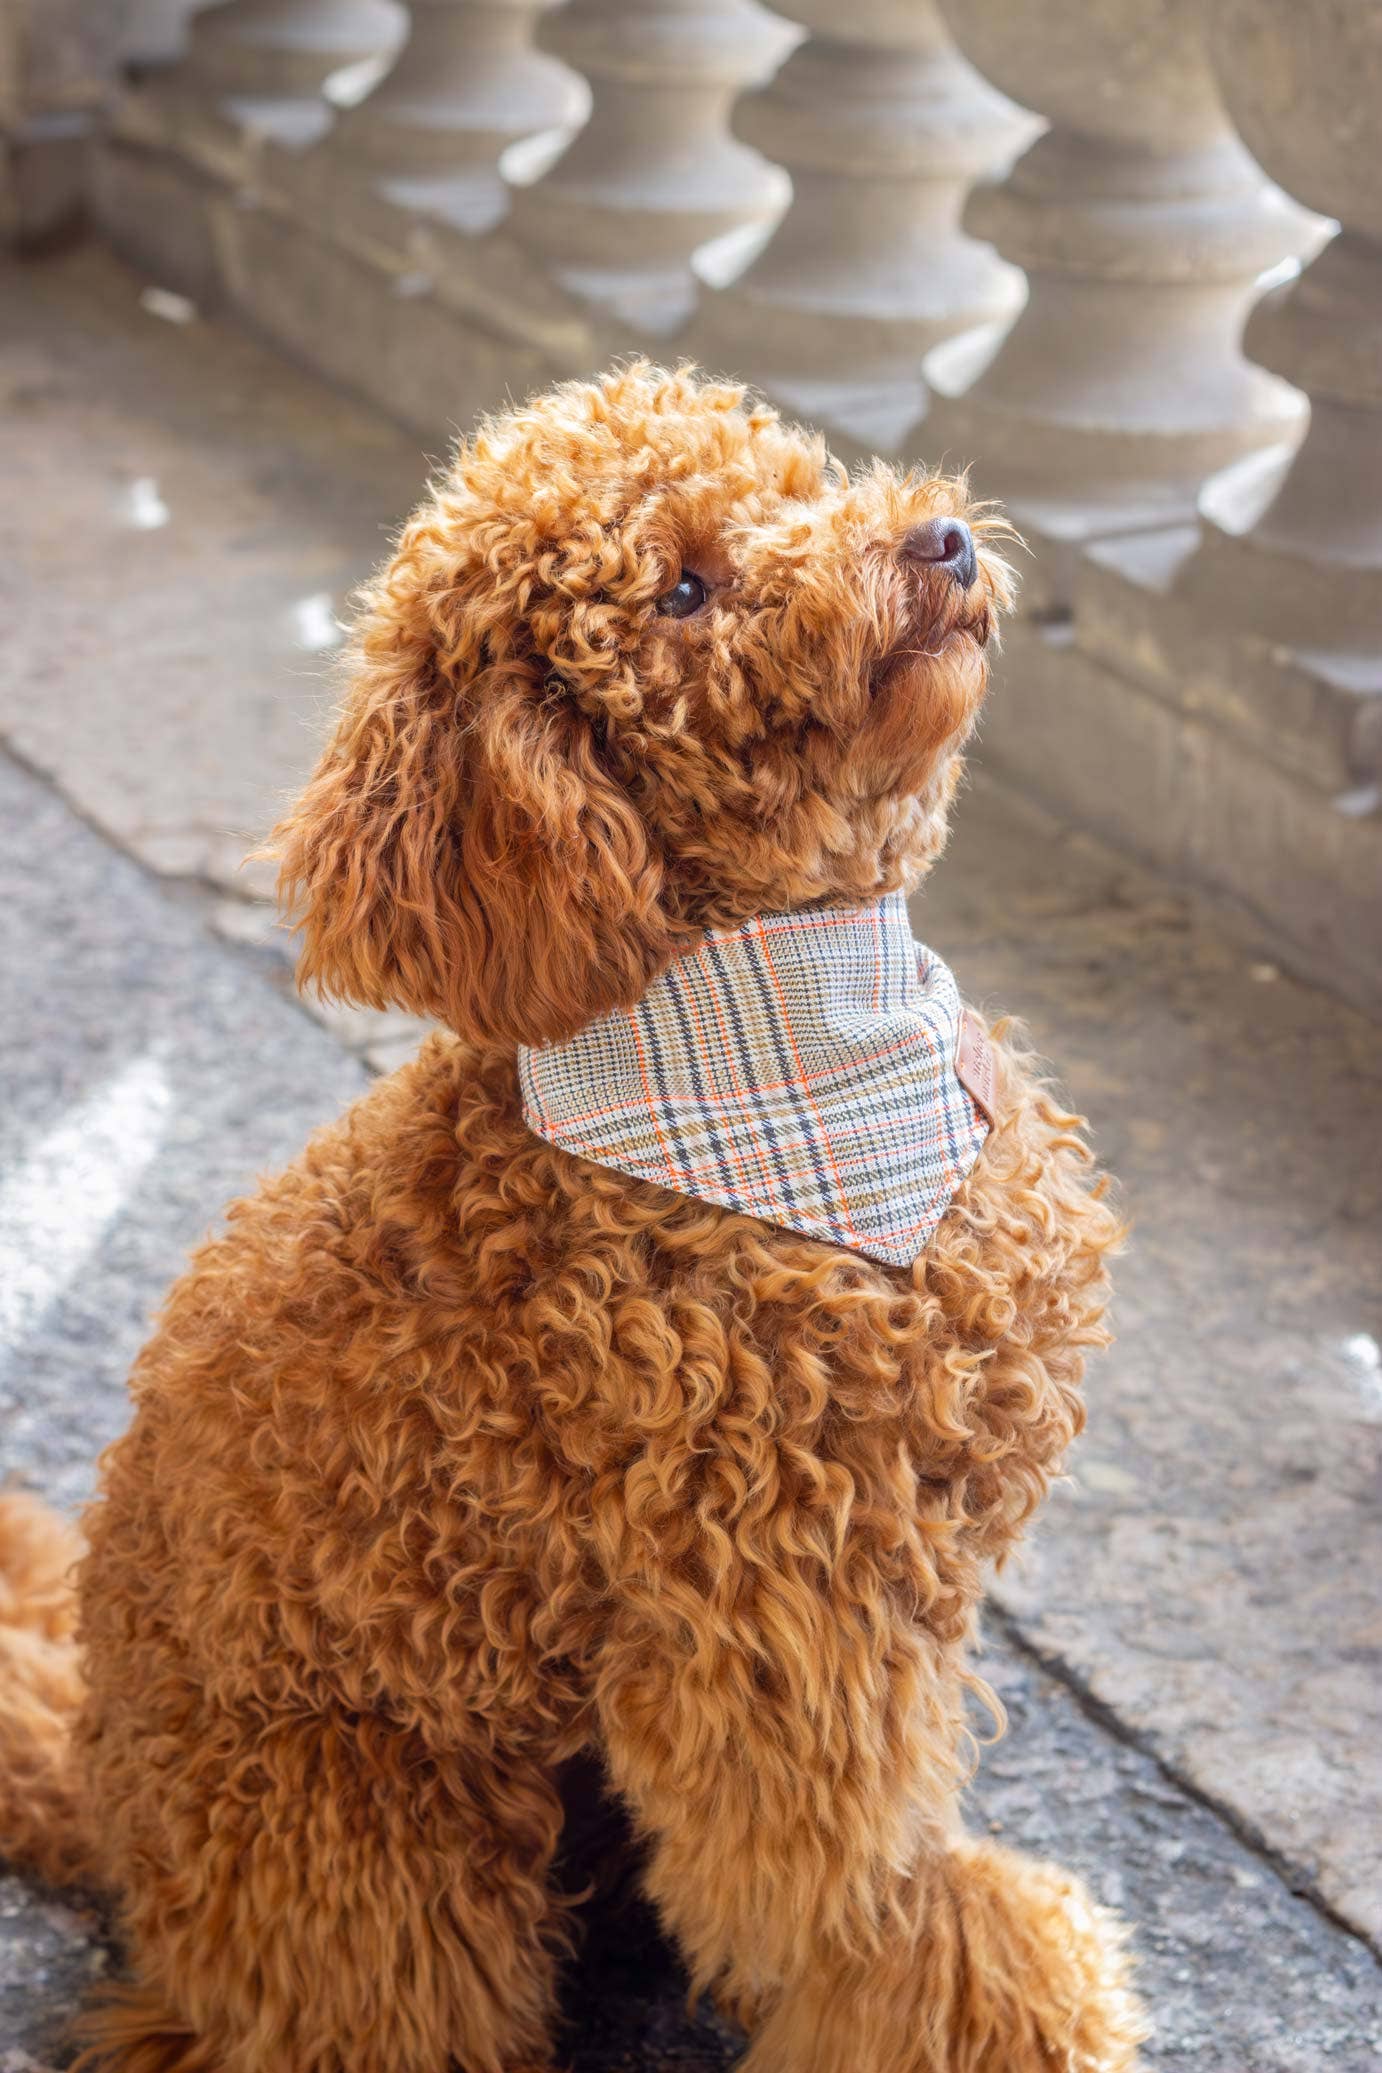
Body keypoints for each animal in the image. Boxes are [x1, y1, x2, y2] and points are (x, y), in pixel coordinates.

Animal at [2, 364, 1143, 2064]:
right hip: (365, 1831)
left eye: (797, 485)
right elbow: (860, 1898)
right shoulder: (774, 1612)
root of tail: (98, 1785)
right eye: (680, 590)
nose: (935, 539)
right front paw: (978, 1987)